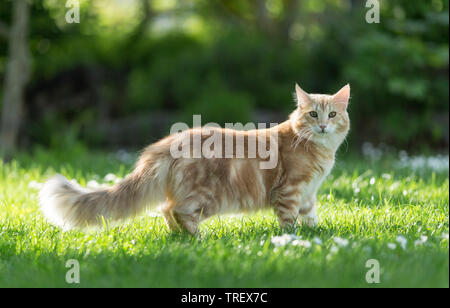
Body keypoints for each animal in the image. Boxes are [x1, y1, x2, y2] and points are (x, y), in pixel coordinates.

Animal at [40, 83, 350, 232]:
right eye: (313, 114)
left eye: (332, 114)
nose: (323, 125)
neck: (320, 151)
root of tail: (170, 142)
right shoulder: (289, 191)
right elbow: (289, 221)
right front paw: (292, 239)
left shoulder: (308, 194)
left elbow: (310, 217)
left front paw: (315, 234)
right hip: (209, 197)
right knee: (177, 210)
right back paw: (197, 238)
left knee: (165, 209)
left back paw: (179, 237)